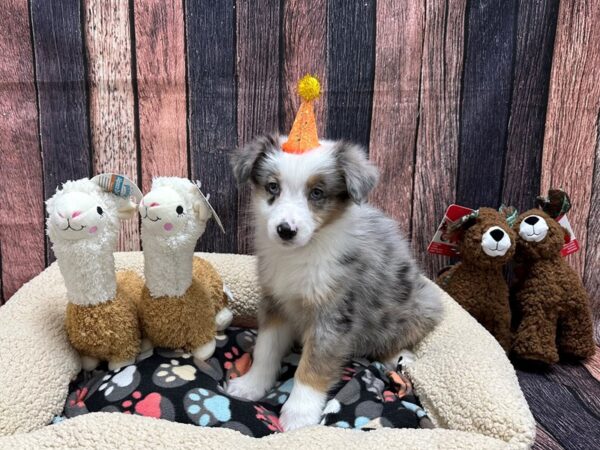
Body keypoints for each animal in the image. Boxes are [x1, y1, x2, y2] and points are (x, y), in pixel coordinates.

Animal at [227, 135, 442, 430]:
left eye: (317, 193)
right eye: (273, 187)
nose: (285, 230)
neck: (302, 253)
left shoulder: (334, 315)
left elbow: (312, 366)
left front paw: (299, 416)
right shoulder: (275, 302)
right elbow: (265, 349)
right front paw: (251, 385)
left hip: (420, 307)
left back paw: (397, 355)